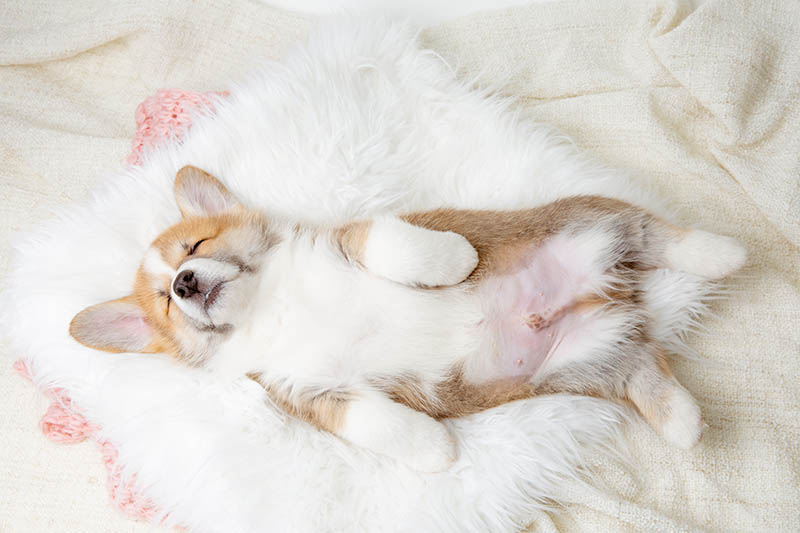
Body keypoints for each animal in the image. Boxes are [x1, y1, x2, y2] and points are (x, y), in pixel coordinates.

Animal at [69, 165, 744, 470]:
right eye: (164, 301)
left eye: (195, 246)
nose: (183, 283)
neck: (272, 303)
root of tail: (611, 295)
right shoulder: (311, 394)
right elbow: (376, 425)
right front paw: (435, 449)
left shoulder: (349, 240)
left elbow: (396, 247)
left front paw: (454, 259)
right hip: (595, 360)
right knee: (647, 369)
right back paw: (683, 421)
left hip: (588, 223)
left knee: (654, 233)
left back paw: (722, 252)